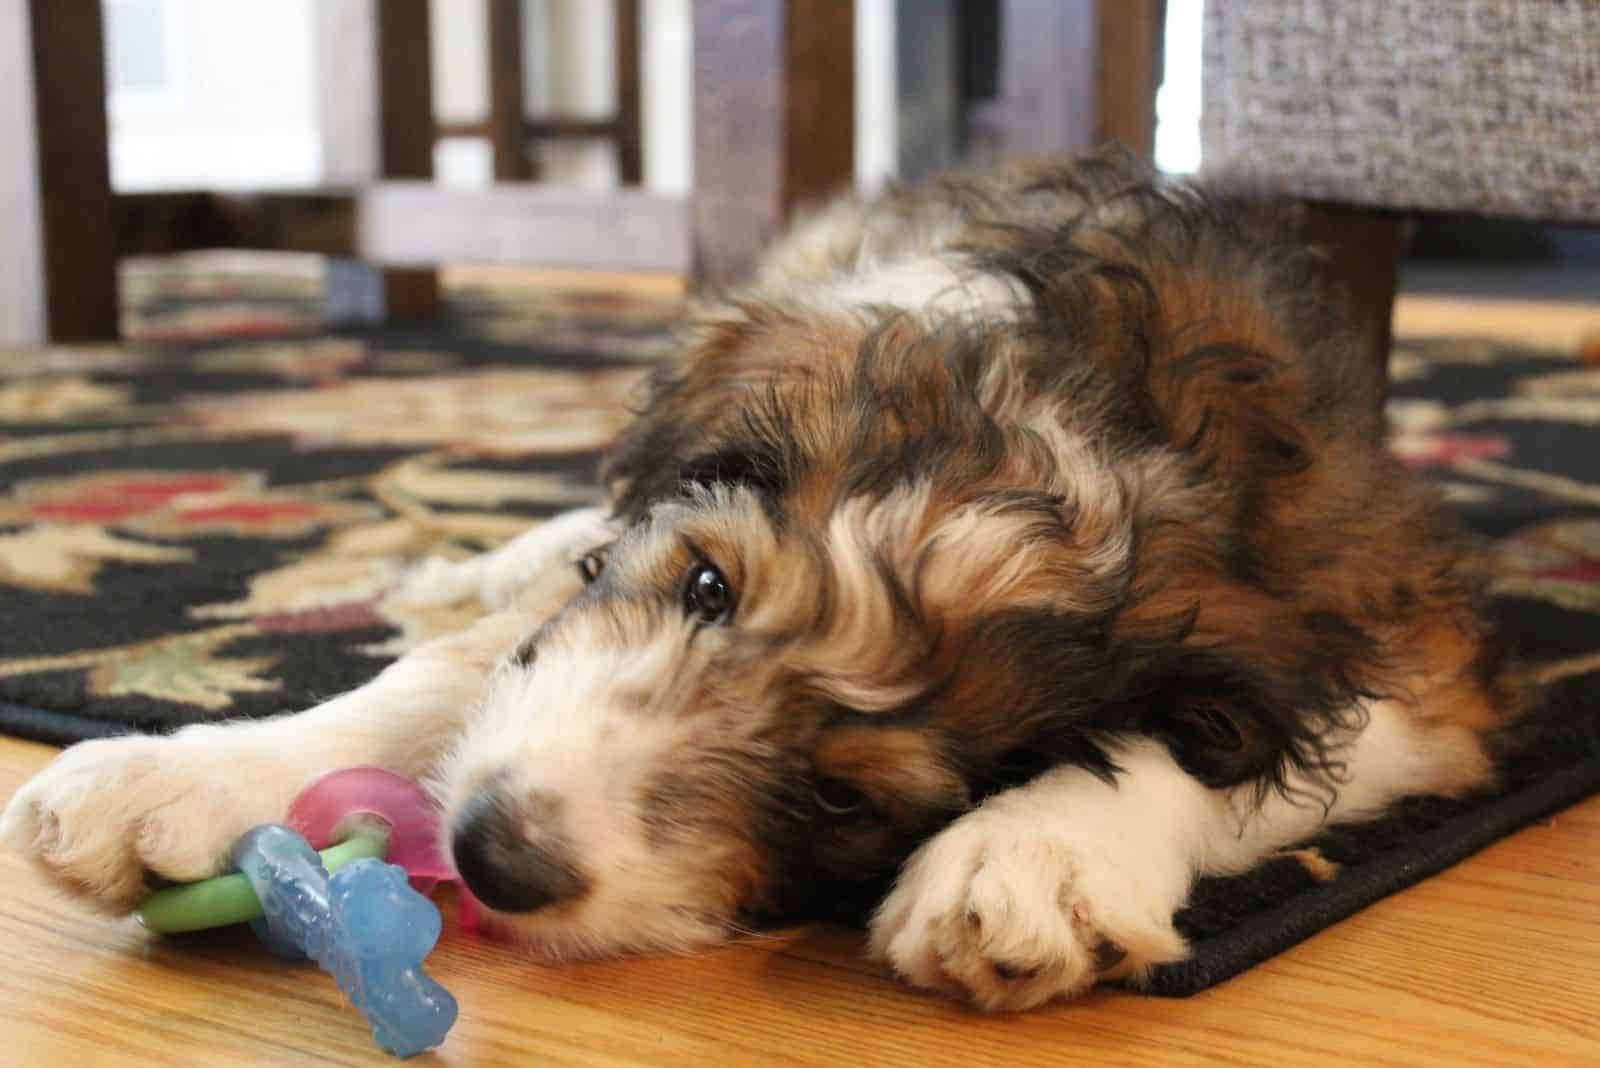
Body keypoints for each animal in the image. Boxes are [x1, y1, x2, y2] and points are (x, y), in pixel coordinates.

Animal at [3, 150, 1523, 1010]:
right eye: (705, 588)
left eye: (846, 799)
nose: (493, 855)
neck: (1074, 425)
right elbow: (465, 668)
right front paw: (182, 773)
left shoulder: (1399, 662)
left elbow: (1213, 752)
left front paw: (1036, 855)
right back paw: (453, 565)